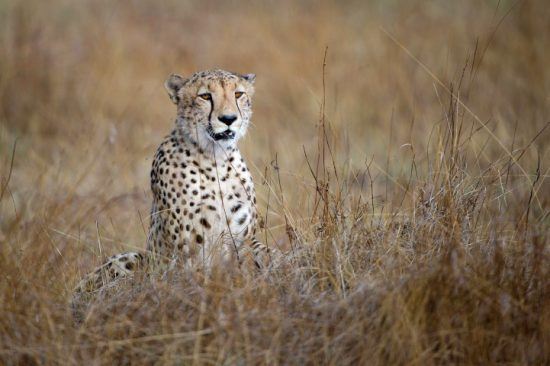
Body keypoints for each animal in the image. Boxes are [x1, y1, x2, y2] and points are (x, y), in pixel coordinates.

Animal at [73, 68, 272, 300]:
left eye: (238, 94)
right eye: (205, 96)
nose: (229, 118)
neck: (217, 159)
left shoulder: (242, 240)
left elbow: (259, 256)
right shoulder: (187, 252)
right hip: (135, 260)